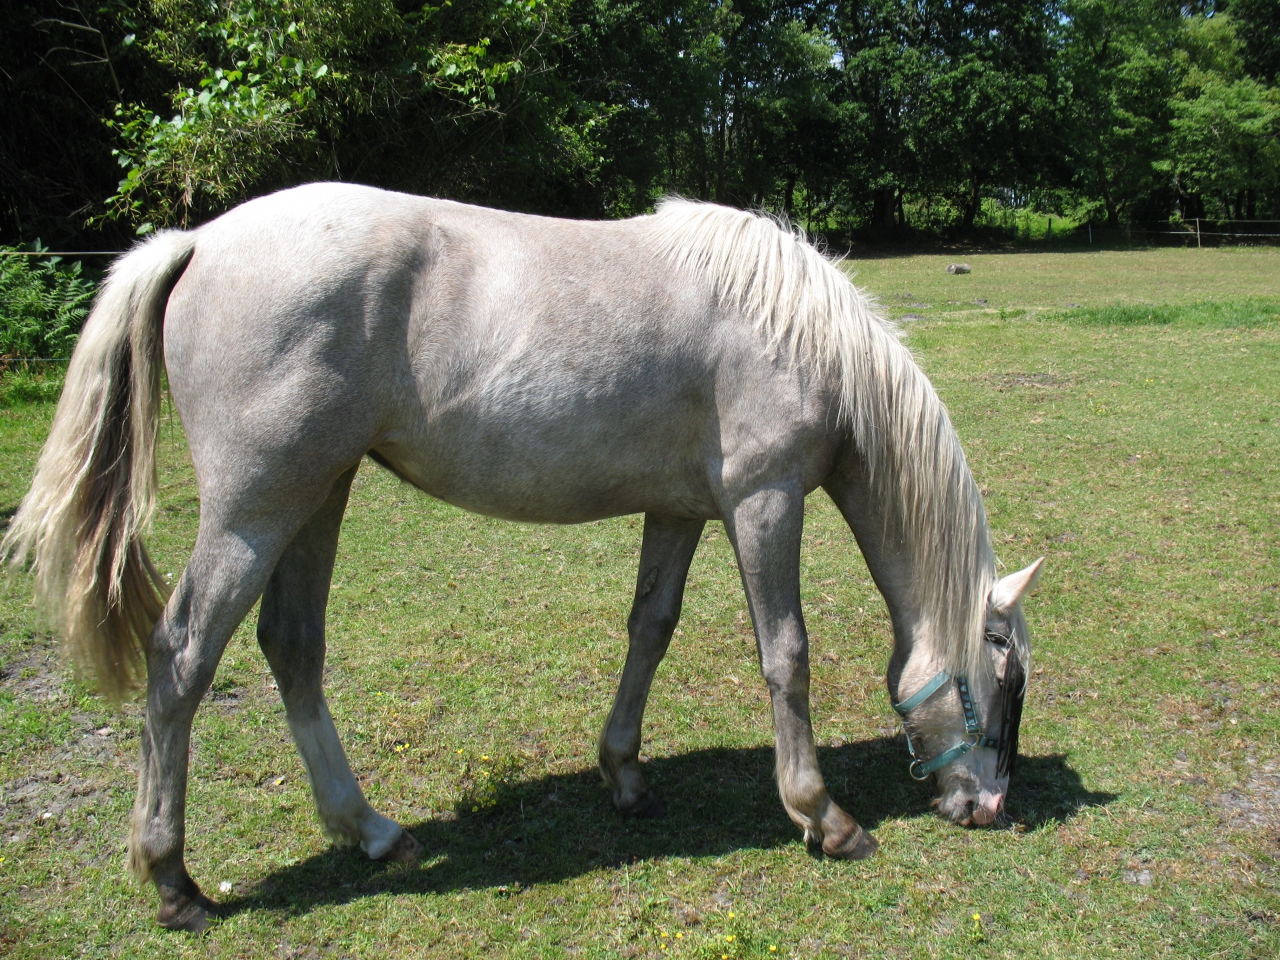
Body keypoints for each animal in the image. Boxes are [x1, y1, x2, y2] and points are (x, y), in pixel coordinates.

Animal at [4, 183, 1043, 932]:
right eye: (1006, 678)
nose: (990, 807)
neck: (795, 330)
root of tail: (198, 241)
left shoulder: (680, 510)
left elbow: (650, 630)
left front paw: (623, 774)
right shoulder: (764, 499)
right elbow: (786, 655)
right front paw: (823, 816)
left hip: (316, 494)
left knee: (292, 648)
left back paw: (372, 833)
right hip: (257, 508)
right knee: (181, 660)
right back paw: (173, 879)